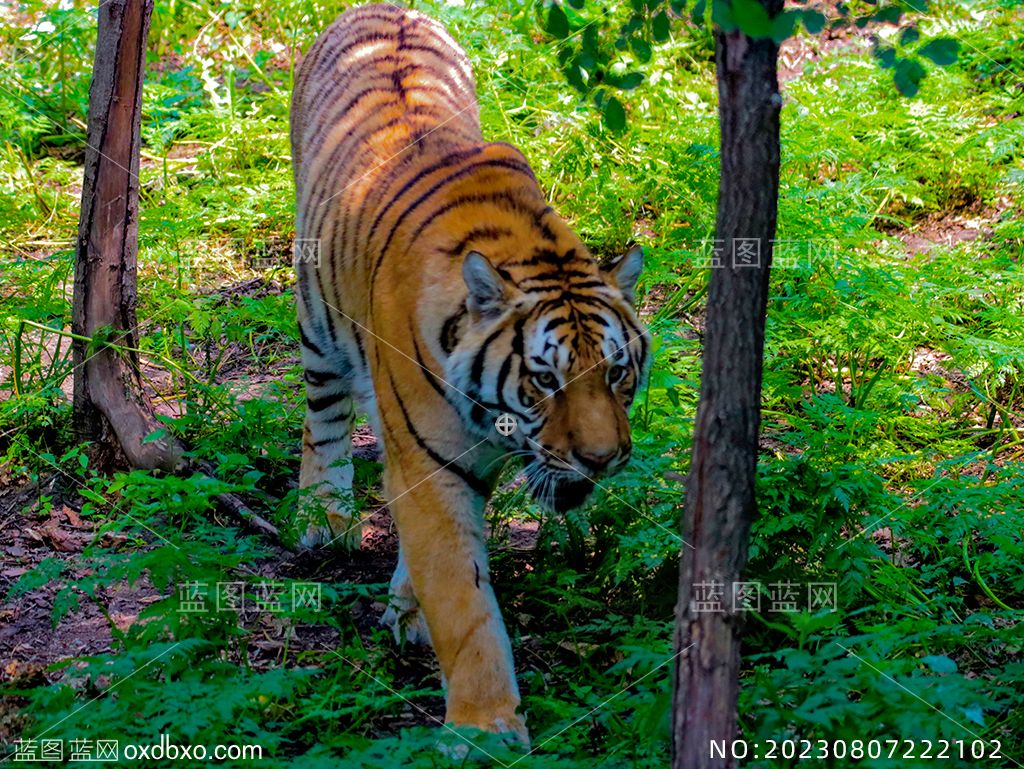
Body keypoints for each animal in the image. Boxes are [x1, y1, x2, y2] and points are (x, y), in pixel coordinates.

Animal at [288, 0, 651, 745]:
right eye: (545, 379)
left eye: (617, 373)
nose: (602, 460)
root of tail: (381, 8)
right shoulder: (433, 464)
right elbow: (464, 599)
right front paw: (486, 730)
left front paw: (409, 612)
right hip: (316, 314)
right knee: (324, 415)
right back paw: (324, 517)